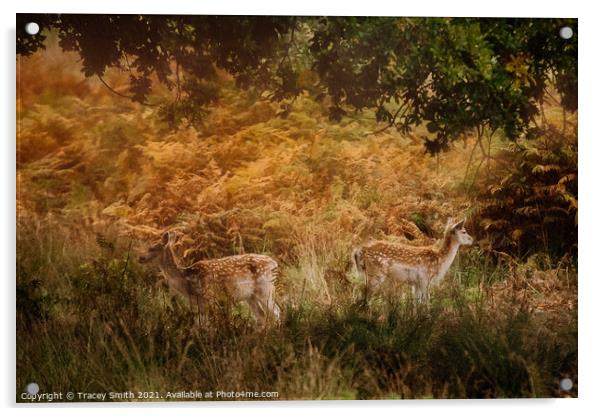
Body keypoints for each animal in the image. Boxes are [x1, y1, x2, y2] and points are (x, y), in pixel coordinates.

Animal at [139, 231, 282, 324]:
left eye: (152, 248)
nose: (140, 257)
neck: (187, 279)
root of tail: (274, 263)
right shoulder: (197, 303)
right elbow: (199, 324)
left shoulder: (208, 297)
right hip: (250, 296)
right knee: (261, 317)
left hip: (266, 289)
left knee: (276, 312)